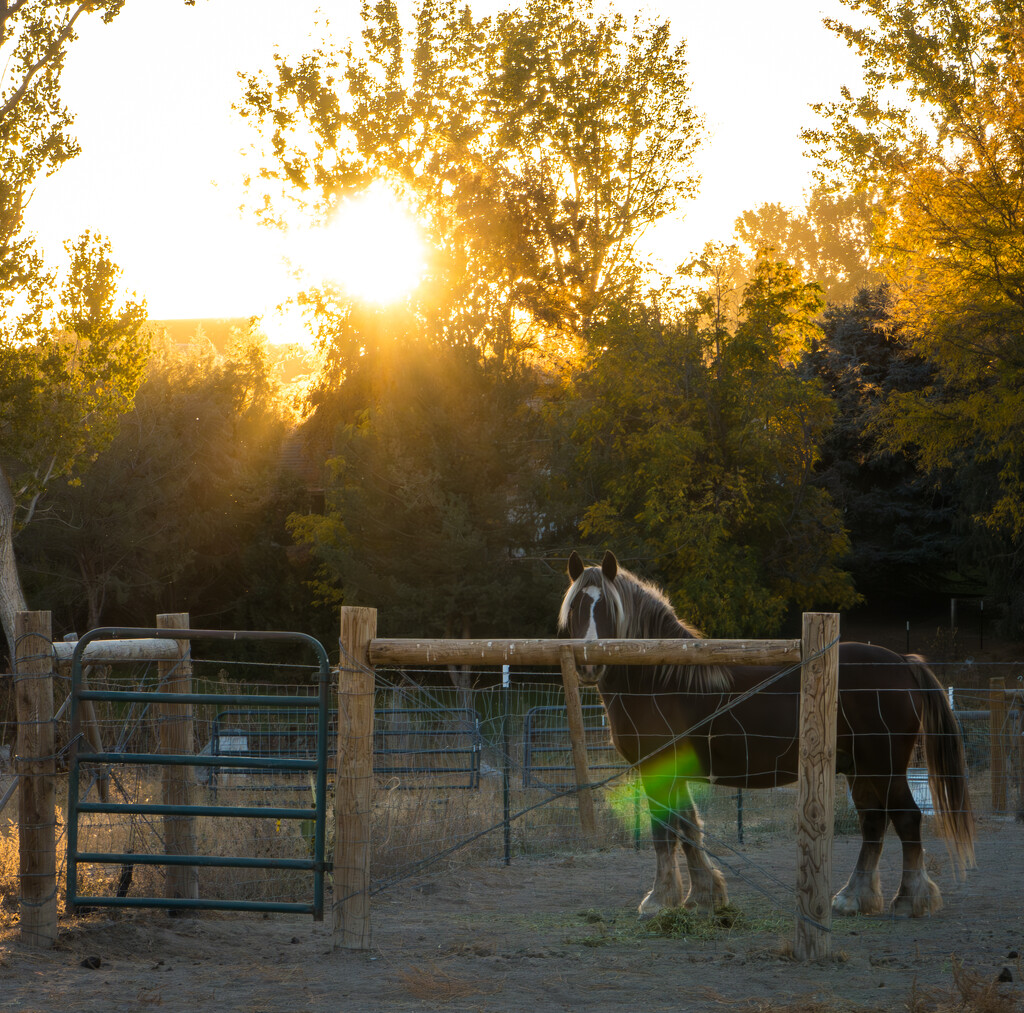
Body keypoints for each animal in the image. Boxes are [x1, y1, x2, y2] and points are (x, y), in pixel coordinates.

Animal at [561, 549, 974, 921]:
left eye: (608, 609)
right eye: (577, 607)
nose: (588, 663)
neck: (660, 680)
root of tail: (903, 663)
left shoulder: (657, 768)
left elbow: (665, 831)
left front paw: (660, 900)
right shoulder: (674, 772)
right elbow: (689, 828)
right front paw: (704, 895)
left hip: (883, 767)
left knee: (907, 818)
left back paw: (910, 900)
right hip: (860, 770)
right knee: (873, 822)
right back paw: (853, 898)